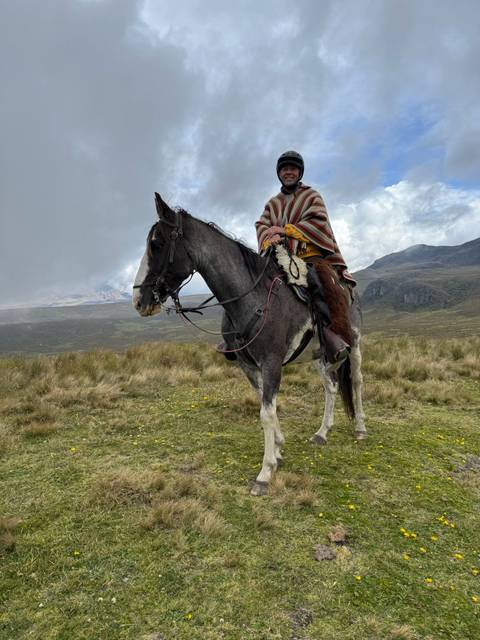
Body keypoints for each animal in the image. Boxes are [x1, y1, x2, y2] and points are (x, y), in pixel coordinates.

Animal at [133, 193, 366, 496]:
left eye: (156, 244)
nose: (138, 301)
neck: (250, 298)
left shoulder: (272, 363)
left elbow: (266, 412)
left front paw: (265, 473)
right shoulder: (248, 365)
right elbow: (265, 405)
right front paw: (277, 448)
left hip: (355, 342)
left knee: (357, 381)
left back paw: (360, 427)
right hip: (319, 353)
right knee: (331, 386)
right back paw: (322, 432)